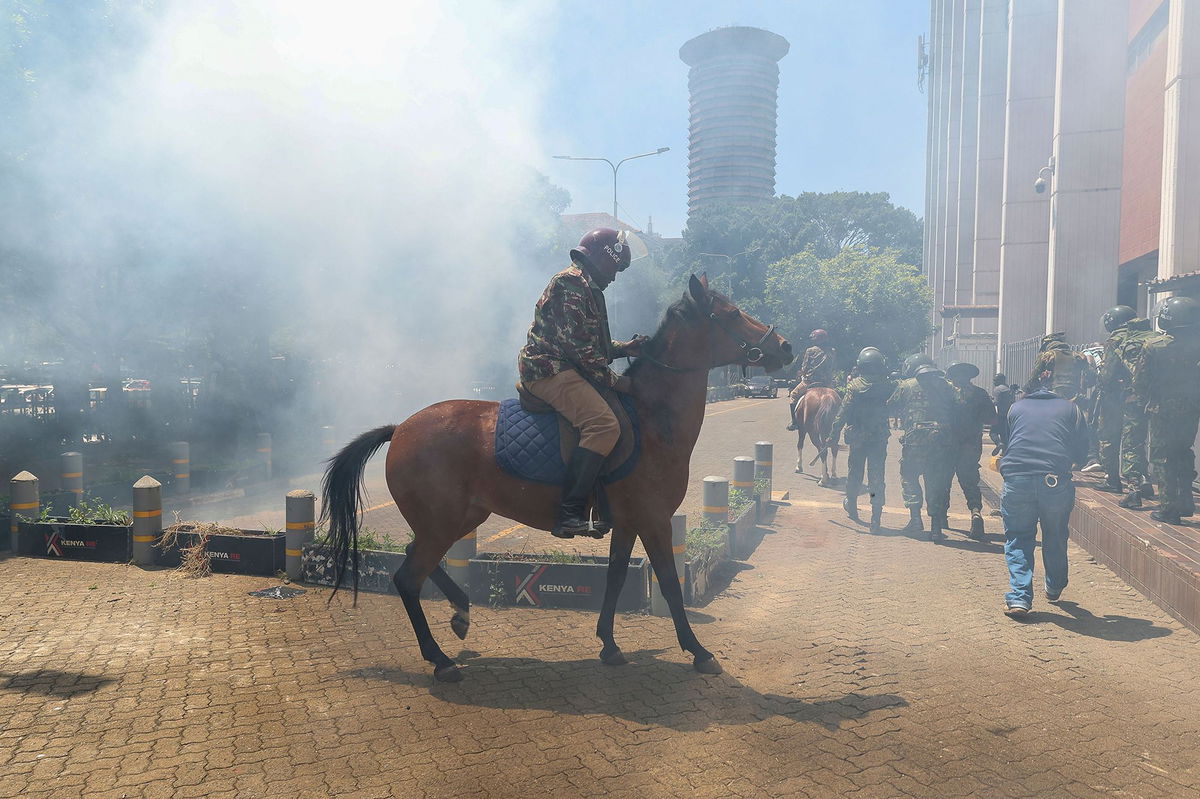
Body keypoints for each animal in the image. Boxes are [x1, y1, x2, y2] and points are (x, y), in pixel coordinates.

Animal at [319, 273, 792, 676]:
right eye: (732, 313)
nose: (786, 347)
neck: (650, 416)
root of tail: (401, 427)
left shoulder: (629, 523)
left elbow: (617, 578)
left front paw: (609, 644)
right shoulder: (654, 521)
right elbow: (672, 586)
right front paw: (698, 651)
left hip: (457, 518)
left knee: (417, 559)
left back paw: (460, 612)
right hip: (443, 523)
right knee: (407, 577)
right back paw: (440, 659)